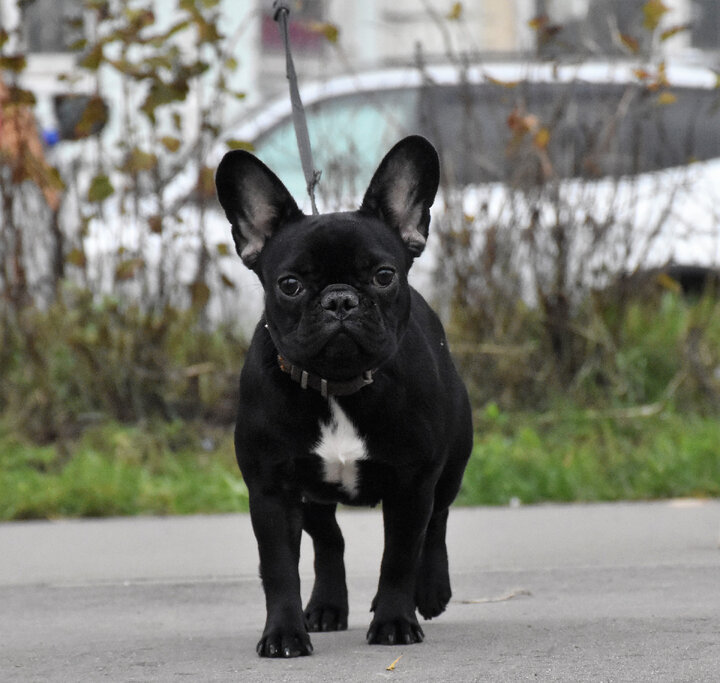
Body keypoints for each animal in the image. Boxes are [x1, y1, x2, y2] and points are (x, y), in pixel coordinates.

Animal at [214, 132, 472, 656]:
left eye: (384, 276)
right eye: (290, 284)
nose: (339, 299)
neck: (337, 384)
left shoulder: (412, 484)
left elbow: (400, 556)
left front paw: (395, 621)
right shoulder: (272, 491)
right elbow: (279, 569)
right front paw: (284, 633)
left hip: (452, 462)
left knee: (438, 520)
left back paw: (431, 592)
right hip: (312, 493)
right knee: (329, 539)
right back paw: (327, 607)